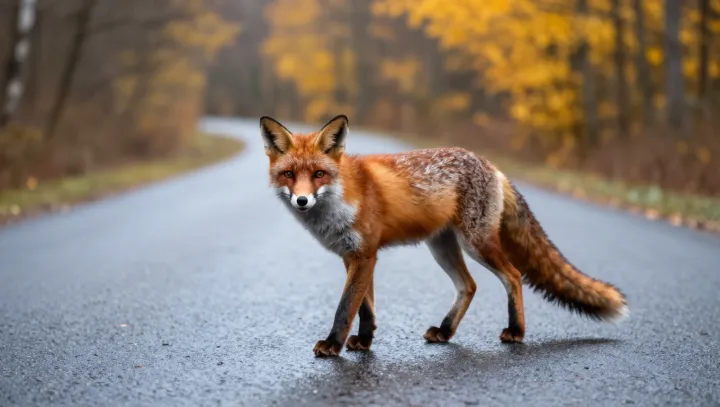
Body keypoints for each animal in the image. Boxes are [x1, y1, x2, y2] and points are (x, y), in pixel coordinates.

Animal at [259, 114, 628, 357]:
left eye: (319, 174)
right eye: (289, 175)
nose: (302, 201)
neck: (340, 200)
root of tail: (491, 165)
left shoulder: (364, 256)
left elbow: (345, 308)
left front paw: (333, 344)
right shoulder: (355, 257)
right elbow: (366, 309)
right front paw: (364, 342)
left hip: (476, 244)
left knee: (513, 276)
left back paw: (516, 332)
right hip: (441, 247)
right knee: (469, 286)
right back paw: (446, 331)